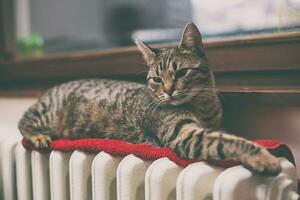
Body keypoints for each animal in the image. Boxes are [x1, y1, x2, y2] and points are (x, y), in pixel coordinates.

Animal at [18, 23, 282, 175]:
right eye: (156, 79)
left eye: (181, 73)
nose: (168, 90)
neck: (203, 106)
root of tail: (53, 87)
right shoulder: (185, 135)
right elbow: (229, 141)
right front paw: (263, 157)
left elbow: (227, 134)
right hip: (46, 112)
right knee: (24, 121)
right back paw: (38, 136)